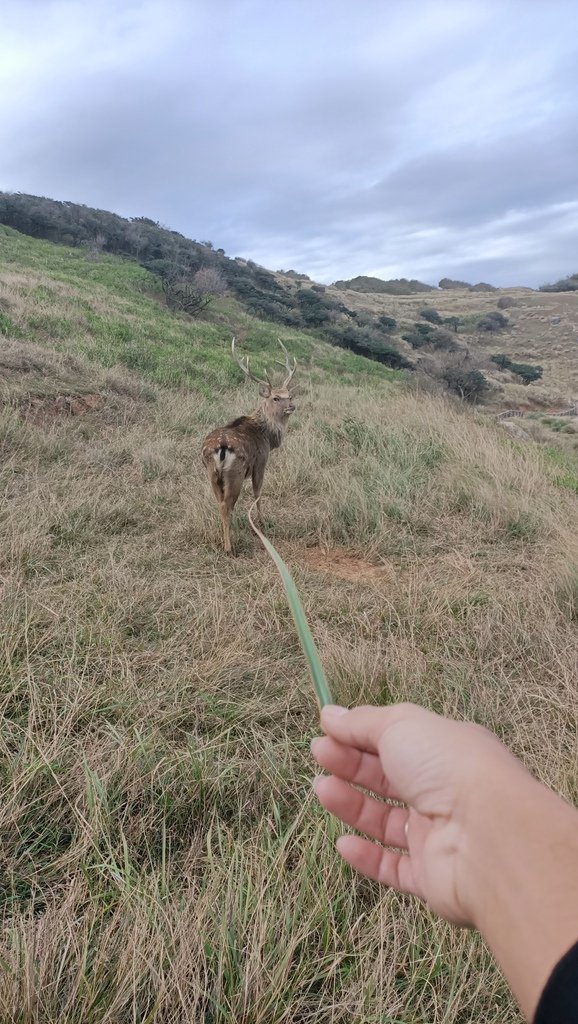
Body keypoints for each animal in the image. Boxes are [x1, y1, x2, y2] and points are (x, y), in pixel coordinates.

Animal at [200, 337, 295, 552]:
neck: (267, 437)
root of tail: (221, 448)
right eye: (276, 397)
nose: (292, 406)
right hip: (234, 473)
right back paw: (229, 547)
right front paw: (262, 522)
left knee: (220, 503)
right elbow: (257, 492)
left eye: (289, 395)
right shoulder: (260, 462)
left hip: (212, 474)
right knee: (226, 505)